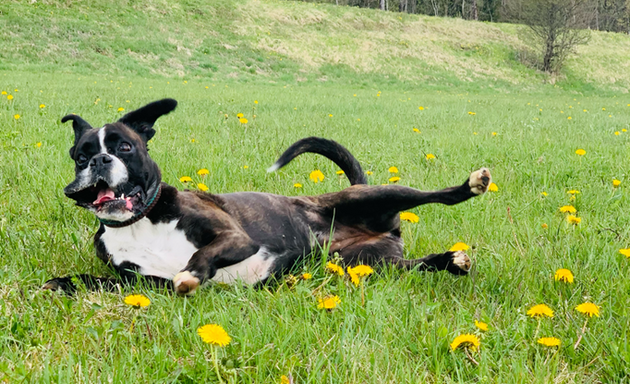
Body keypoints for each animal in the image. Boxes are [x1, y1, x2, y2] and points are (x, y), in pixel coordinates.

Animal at [44, 98, 494, 294]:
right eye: (80, 155)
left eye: (124, 147)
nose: (98, 160)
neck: (140, 223)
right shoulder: (144, 281)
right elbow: (99, 282)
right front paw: (62, 282)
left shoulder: (235, 238)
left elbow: (201, 257)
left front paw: (192, 273)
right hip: (372, 265)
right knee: (417, 265)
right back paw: (451, 260)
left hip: (380, 197)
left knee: (436, 196)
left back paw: (471, 184)